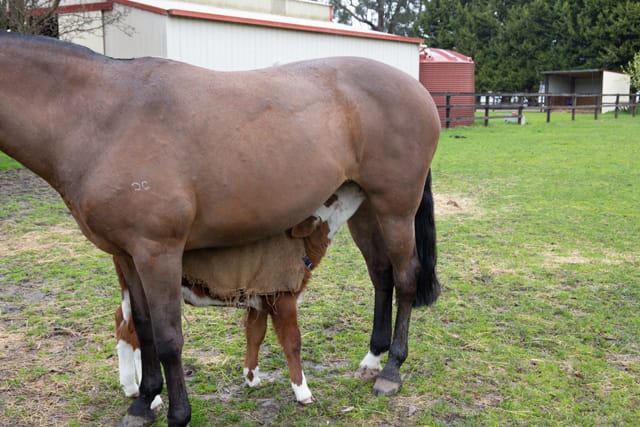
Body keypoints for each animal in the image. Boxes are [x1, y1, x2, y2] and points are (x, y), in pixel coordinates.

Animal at [115, 183, 365, 406]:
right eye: (331, 197)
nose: (359, 187)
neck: (301, 244)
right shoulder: (282, 295)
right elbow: (292, 341)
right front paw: (303, 392)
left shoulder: (259, 298)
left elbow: (255, 334)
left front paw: (251, 378)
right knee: (138, 333)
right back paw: (153, 399)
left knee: (123, 323)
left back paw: (130, 387)